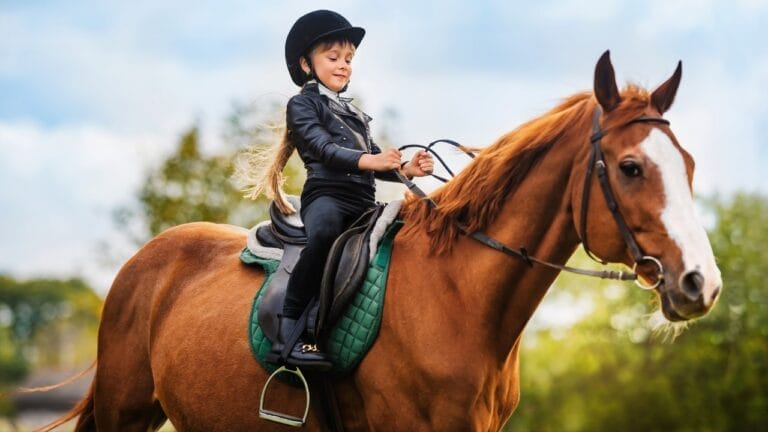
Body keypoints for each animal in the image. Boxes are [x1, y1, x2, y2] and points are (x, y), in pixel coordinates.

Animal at [41, 51, 721, 431]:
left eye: (688, 164)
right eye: (630, 167)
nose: (700, 283)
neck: (458, 296)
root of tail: (143, 265)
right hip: (127, 412)